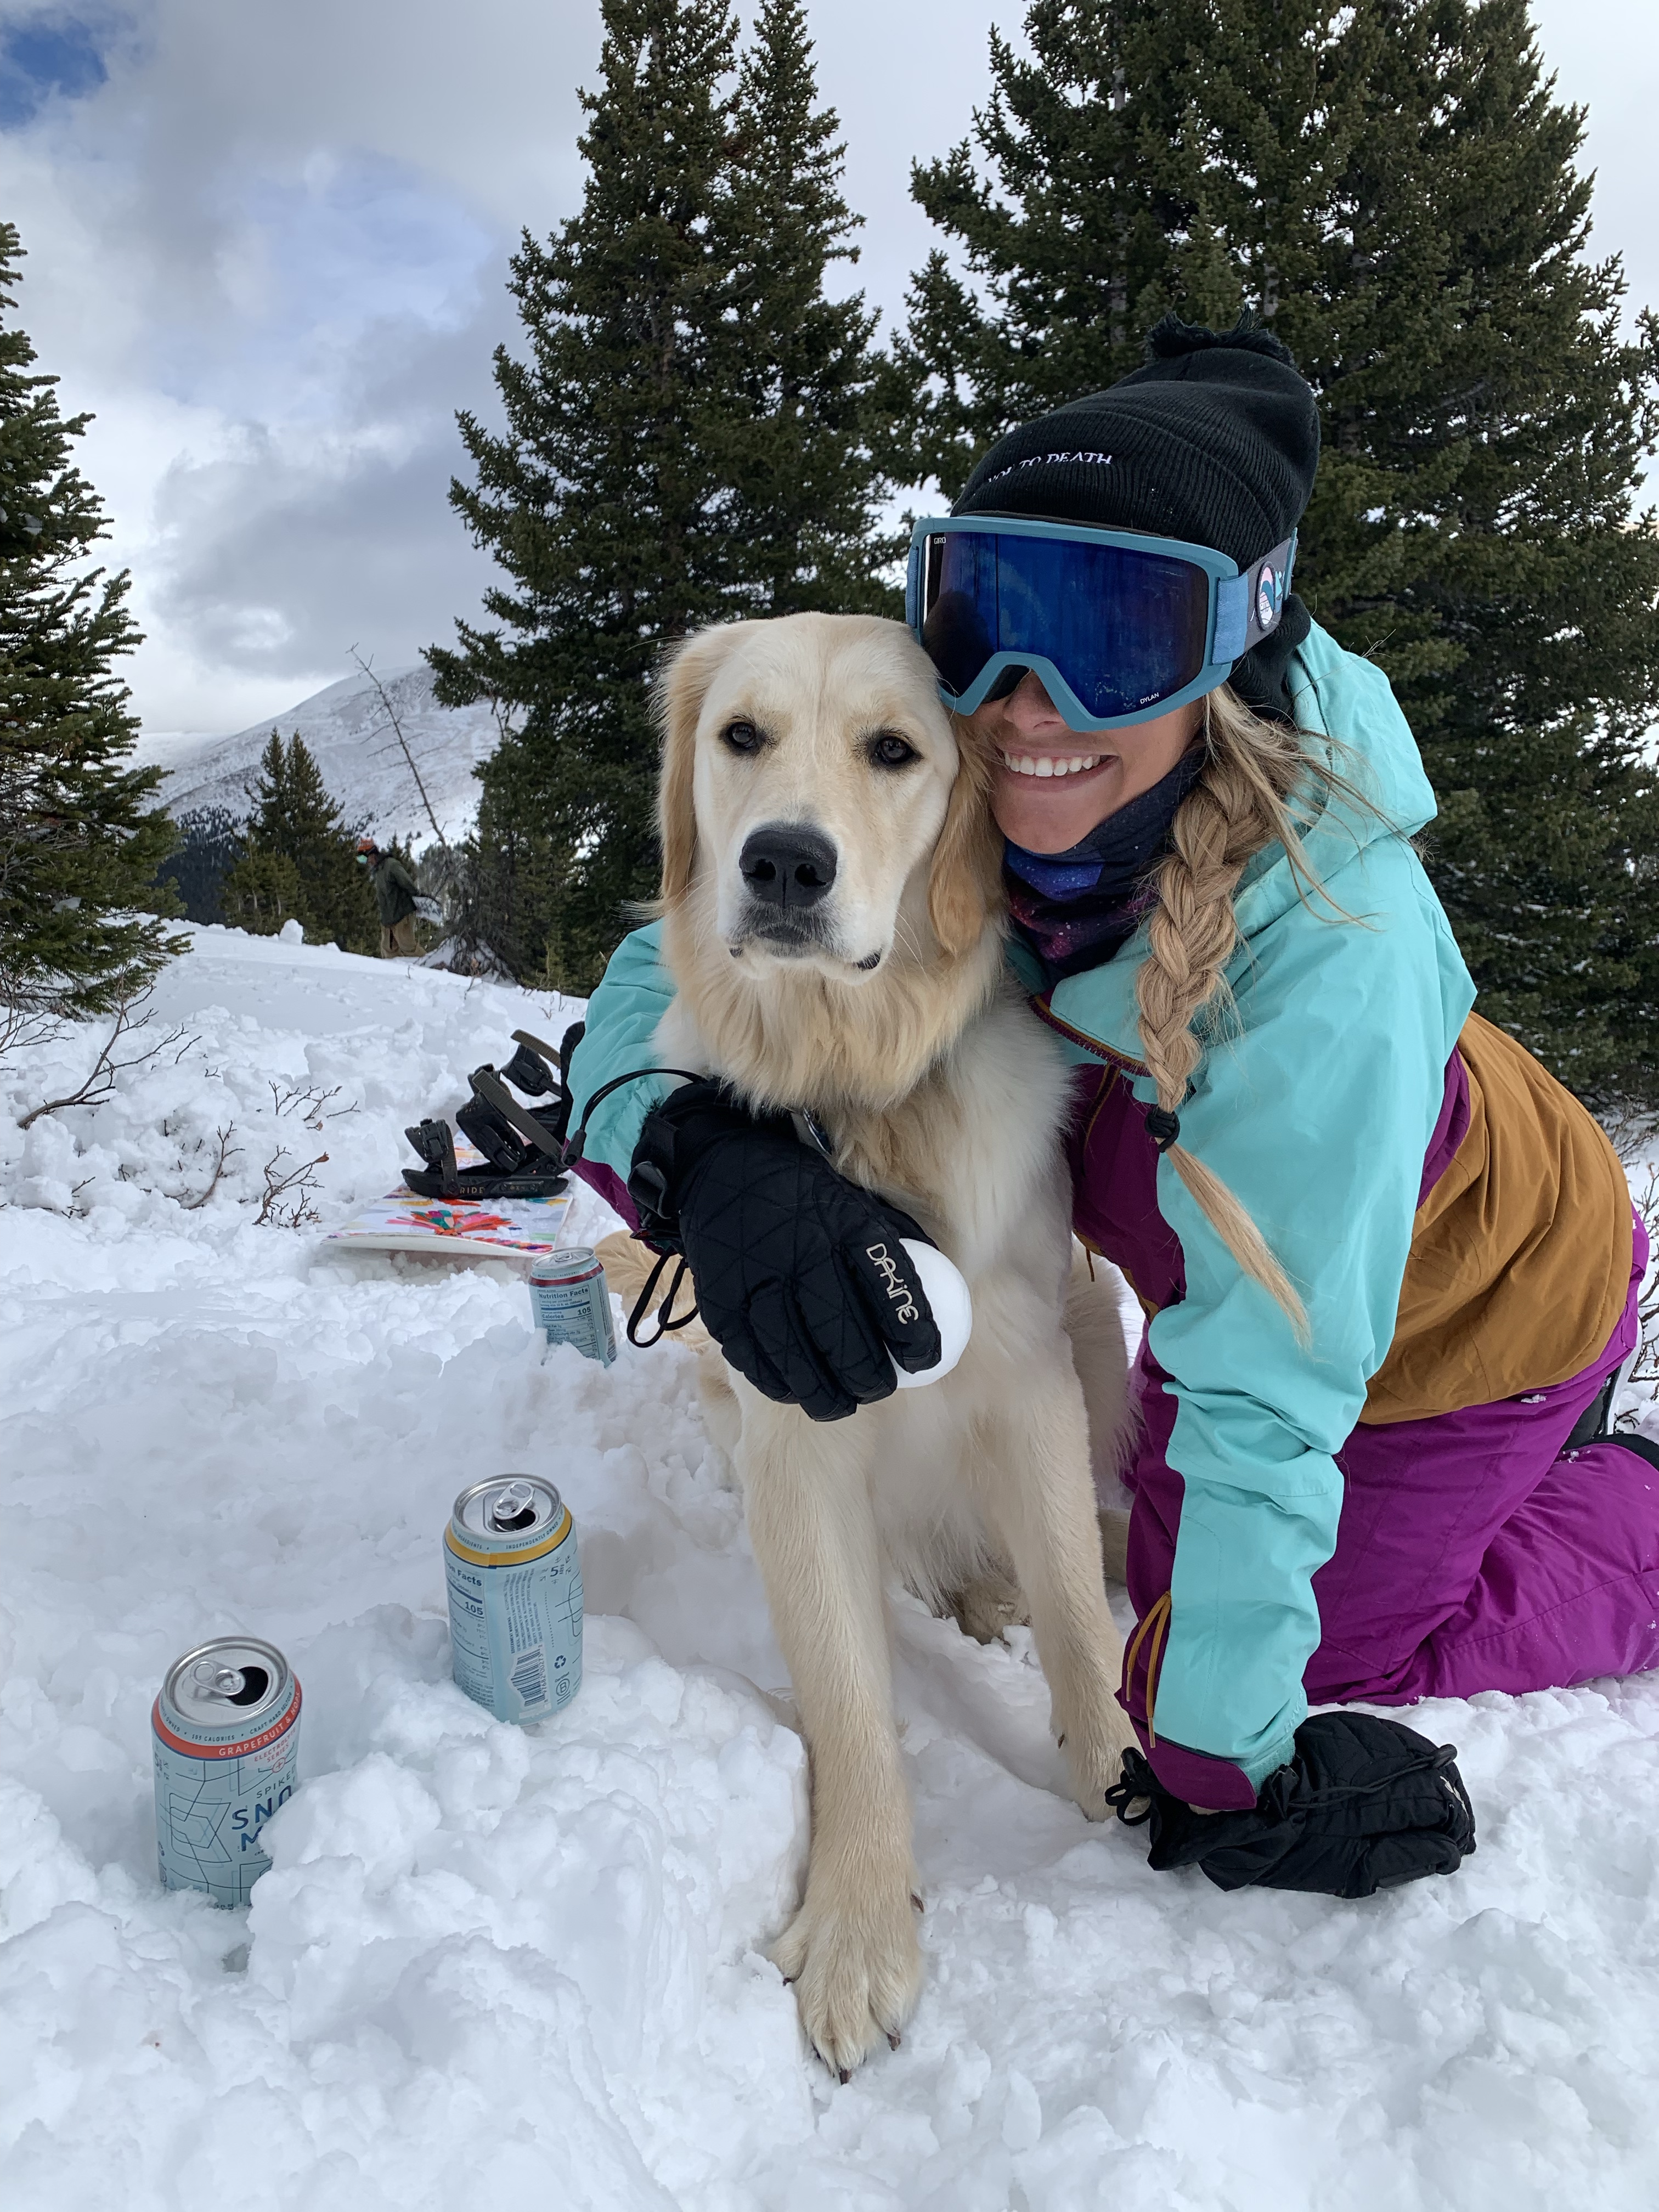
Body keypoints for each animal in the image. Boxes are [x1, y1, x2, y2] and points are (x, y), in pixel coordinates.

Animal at [645, 611, 1135, 2077]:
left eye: (895, 751)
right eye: (741, 735)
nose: (784, 863)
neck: (858, 1089)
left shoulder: (1030, 1369)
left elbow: (1081, 1611)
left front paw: (1117, 1772)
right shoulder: (789, 1429)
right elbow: (849, 1697)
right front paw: (863, 1927)